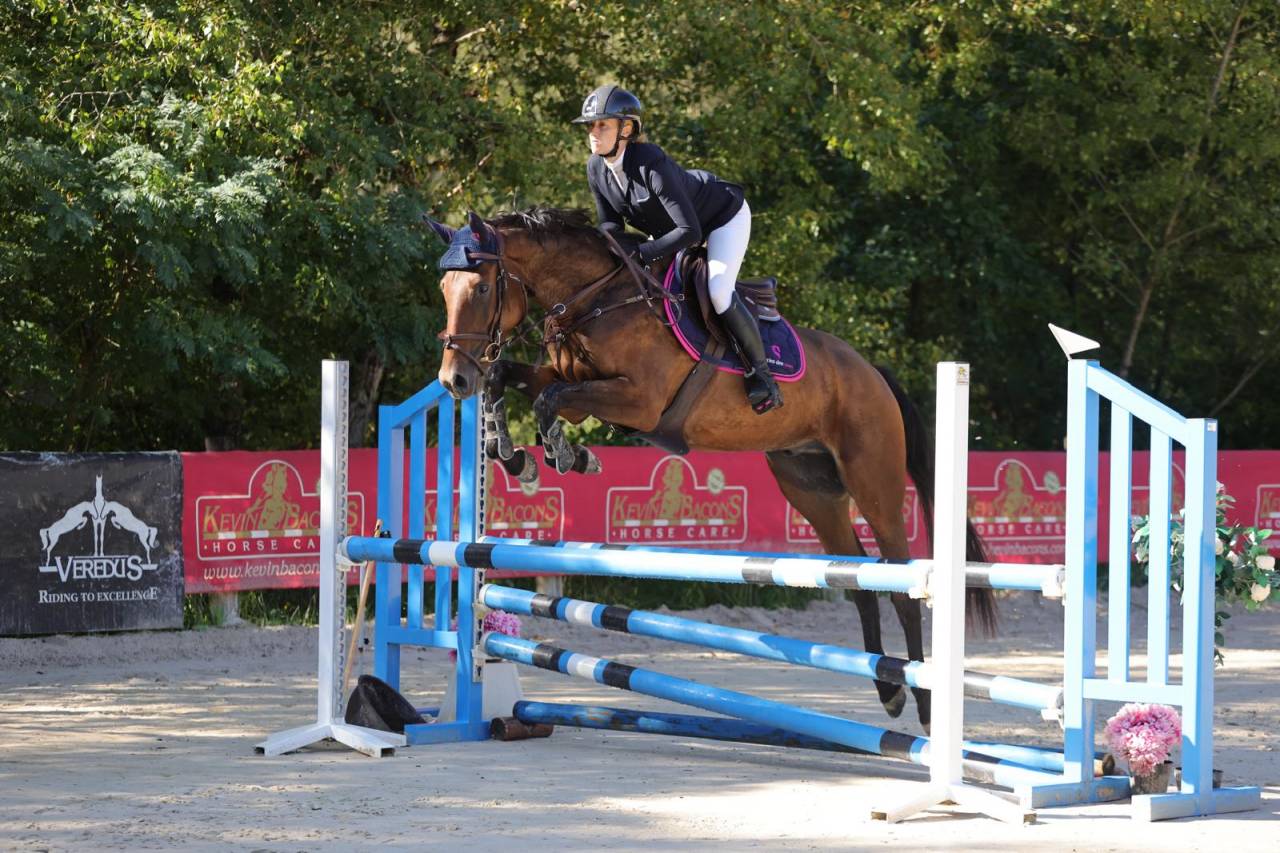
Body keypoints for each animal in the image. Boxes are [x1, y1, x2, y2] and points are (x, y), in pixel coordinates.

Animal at [424, 206, 995, 732]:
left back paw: (923, 706)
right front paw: (512, 452)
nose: (453, 380)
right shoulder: (575, 386)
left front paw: (563, 456)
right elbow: (510, 376)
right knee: (857, 580)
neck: (595, 300)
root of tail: (871, 372)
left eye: (480, 288)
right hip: (811, 490)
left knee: (900, 584)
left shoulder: (637, 401)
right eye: (444, 288)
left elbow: (547, 399)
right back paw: (888, 691)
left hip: (873, 480)